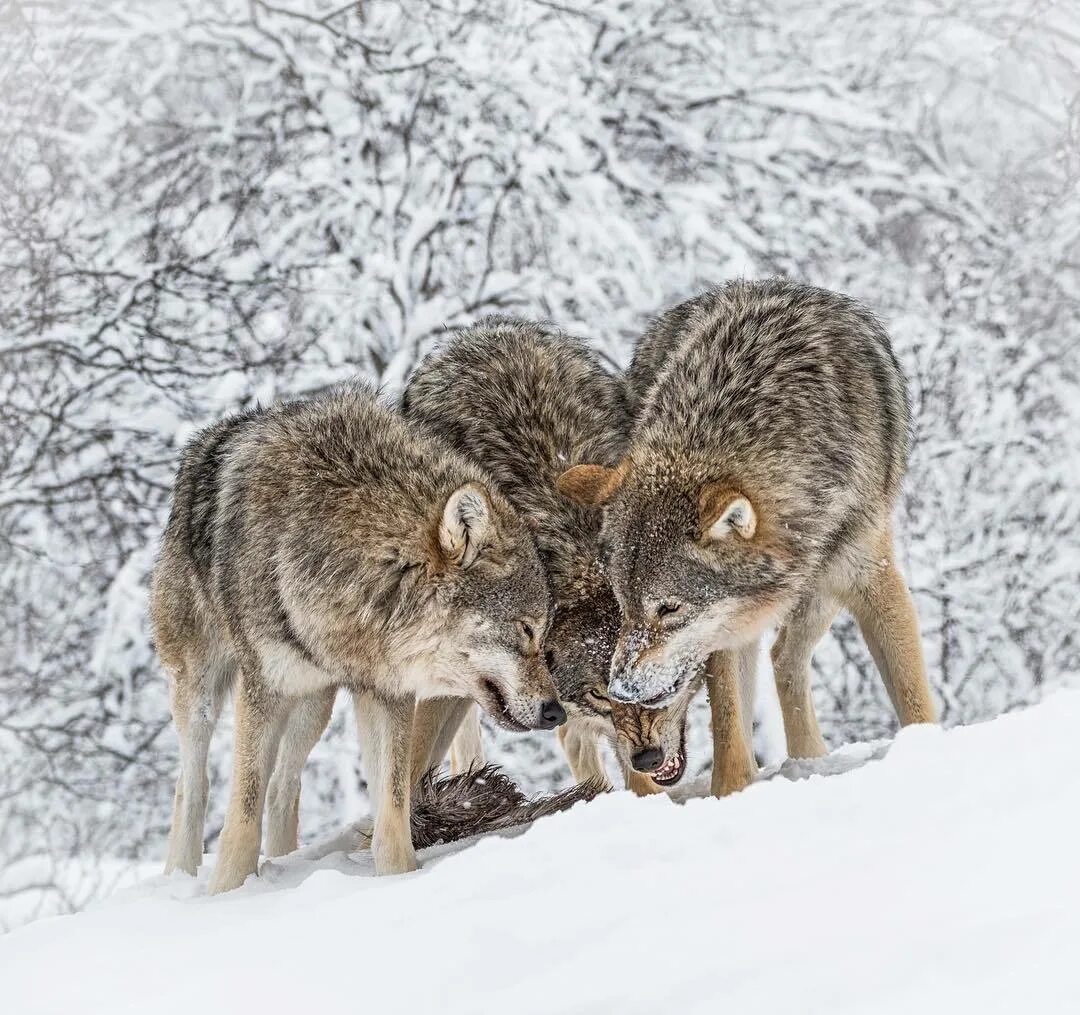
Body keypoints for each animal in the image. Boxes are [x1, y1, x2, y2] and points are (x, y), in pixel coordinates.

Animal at [152, 384, 565, 894]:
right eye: (527, 629)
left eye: (543, 631)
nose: (556, 711)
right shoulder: (264, 688)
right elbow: (243, 813)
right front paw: (227, 893)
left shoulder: (386, 692)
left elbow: (392, 810)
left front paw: (396, 882)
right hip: (203, 692)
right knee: (193, 784)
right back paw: (182, 873)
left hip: (314, 704)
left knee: (283, 787)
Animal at [557, 280, 937, 799]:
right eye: (623, 605)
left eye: (669, 609)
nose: (620, 689)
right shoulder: (723, 628)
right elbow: (730, 730)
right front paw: (732, 794)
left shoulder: (871, 577)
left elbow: (913, 695)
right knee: (776, 660)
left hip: (821, 592)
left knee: (786, 657)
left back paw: (809, 760)